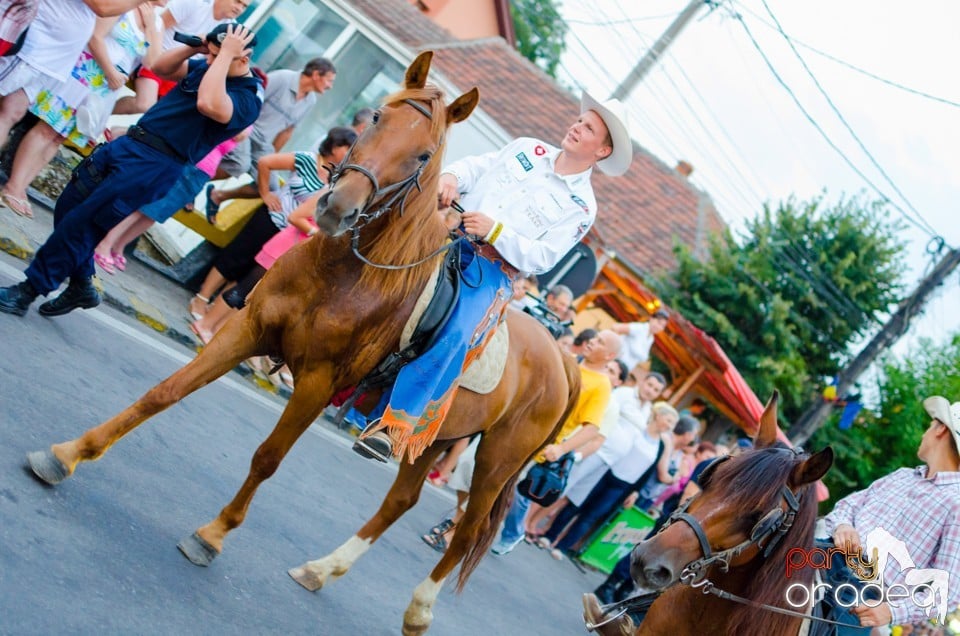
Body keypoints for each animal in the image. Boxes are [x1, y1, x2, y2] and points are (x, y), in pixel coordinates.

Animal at [28, 52, 576, 632]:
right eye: (376, 116)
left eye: (425, 153)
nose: (336, 207)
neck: (344, 274)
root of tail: (564, 360)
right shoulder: (246, 330)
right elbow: (164, 393)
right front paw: (68, 454)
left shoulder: (316, 382)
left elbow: (268, 457)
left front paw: (212, 535)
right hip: (431, 435)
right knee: (401, 500)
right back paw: (322, 569)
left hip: (495, 460)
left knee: (467, 530)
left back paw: (419, 609)